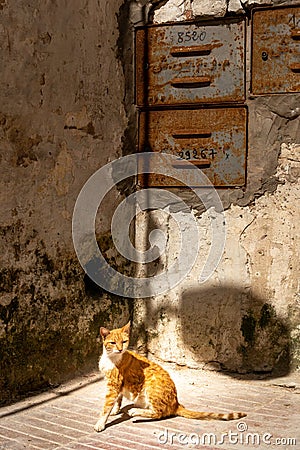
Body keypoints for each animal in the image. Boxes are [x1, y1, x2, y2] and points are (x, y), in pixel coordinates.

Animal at [94, 322, 246, 430]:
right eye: (113, 343)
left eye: (124, 342)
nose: (120, 349)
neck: (110, 358)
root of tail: (176, 403)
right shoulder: (116, 385)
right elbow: (117, 400)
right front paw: (115, 411)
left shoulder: (114, 385)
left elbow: (106, 407)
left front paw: (101, 423)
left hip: (151, 386)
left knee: (159, 413)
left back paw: (134, 411)